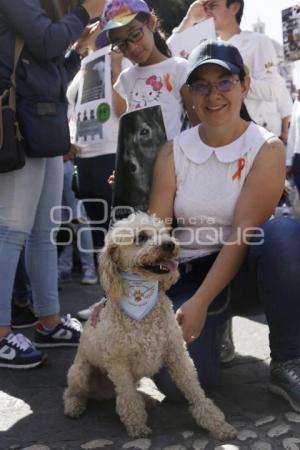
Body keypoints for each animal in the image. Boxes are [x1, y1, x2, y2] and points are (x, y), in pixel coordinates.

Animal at [63, 214, 237, 440]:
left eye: (165, 232)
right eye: (141, 237)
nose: (170, 244)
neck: (143, 312)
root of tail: (103, 393)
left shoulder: (177, 352)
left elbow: (195, 390)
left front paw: (216, 423)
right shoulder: (119, 364)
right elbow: (128, 399)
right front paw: (136, 425)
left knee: (128, 392)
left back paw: (146, 399)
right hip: (80, 373)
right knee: (73, 392)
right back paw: (74, 406)